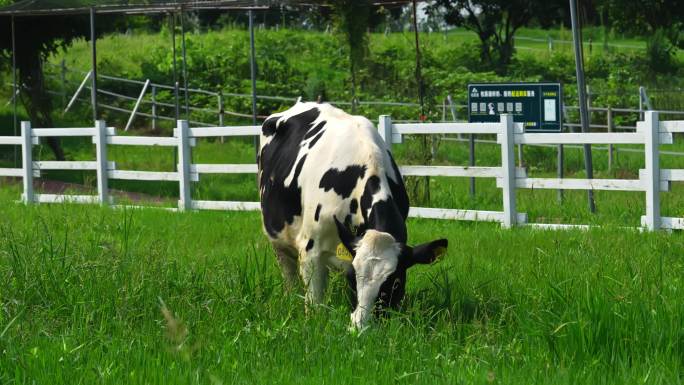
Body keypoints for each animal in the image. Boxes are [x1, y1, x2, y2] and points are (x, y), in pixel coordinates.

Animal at [260, 100, 446, 326]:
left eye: (395, 283)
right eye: (353, 279)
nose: (359, 326)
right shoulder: (311, 249)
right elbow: (314, 304)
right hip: (278, 240)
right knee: (288, 274)